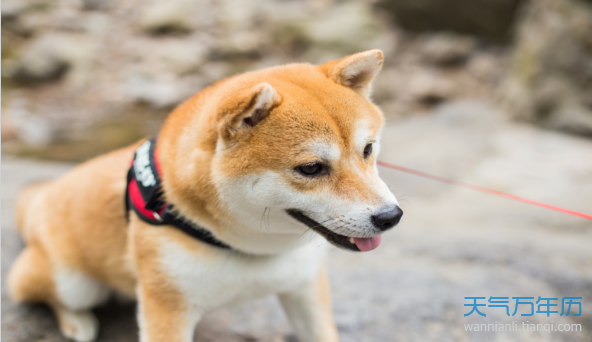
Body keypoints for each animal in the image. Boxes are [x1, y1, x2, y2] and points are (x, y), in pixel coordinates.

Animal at [6, 50, 402, 342]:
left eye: (368, 149)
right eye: (310, 168)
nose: (391, 217)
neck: (250, 249)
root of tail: (44, 197)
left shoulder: (304, 286)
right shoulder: (167, 309)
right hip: (70, 282)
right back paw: (77, 322)